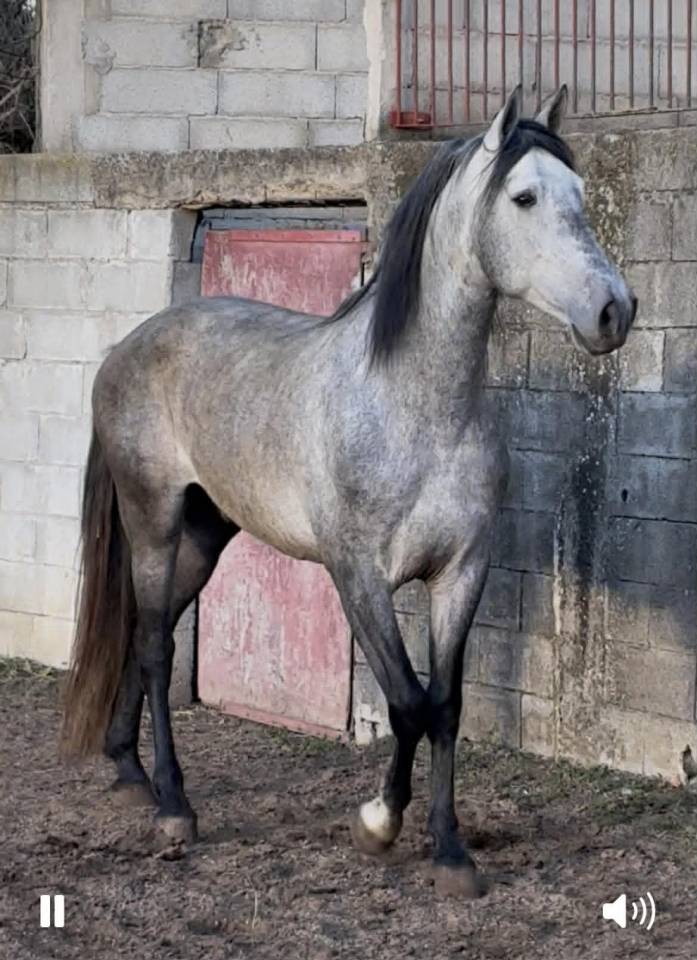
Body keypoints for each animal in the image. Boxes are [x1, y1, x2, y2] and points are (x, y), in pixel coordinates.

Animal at [61, 86, 636, 897]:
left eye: (581, 196)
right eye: (523, 197)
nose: (615, 311)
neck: (414, 408)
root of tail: (126, 347)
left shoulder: (461, 574)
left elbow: (445, 705)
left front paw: (450, 851)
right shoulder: (358, 576)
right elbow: (404, 704)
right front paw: (378, 823)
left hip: (206, 535)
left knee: (154, 628)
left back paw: (128, 771)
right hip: (154, 521)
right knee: (151, 646)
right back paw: (174, 808)